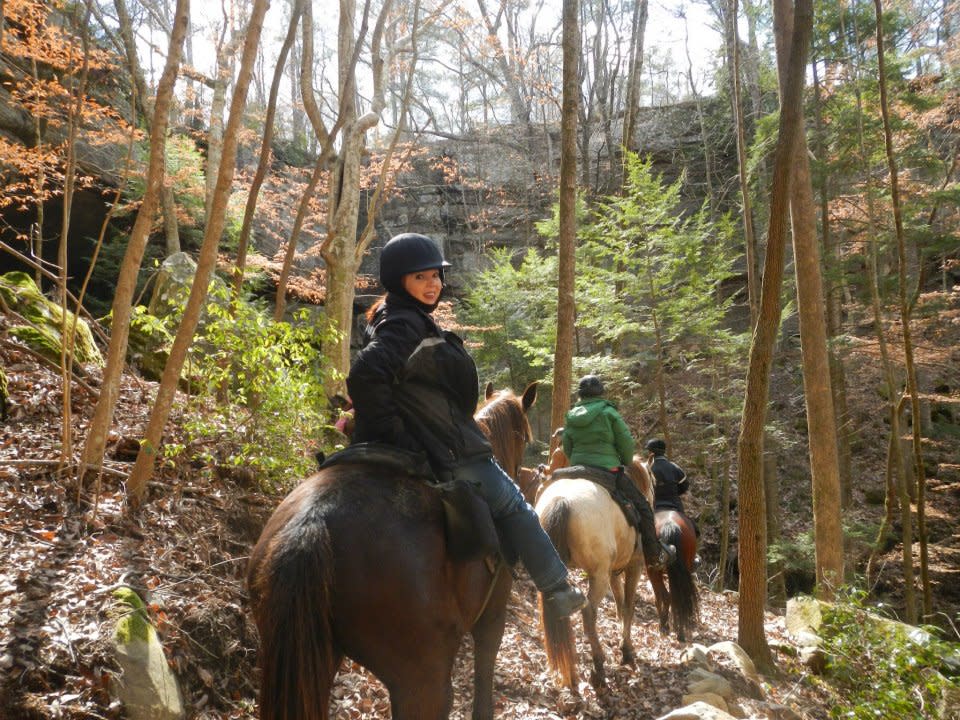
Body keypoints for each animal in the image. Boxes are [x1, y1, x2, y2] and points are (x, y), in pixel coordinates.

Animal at [536, 458, 656, 688]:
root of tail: (561, 500)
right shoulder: (633, 566)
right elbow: (628, 607)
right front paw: (627, 650)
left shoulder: (614, 571)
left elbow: (619, 604)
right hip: (598, 575)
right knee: (589, 611)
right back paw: (598, 666)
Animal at [648, 506, 700, 640]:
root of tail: (670, 524)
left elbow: (659, 598)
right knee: (677, 598)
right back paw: (680, 632)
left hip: (654, 571)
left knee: (665, 596)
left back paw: (663, 625)